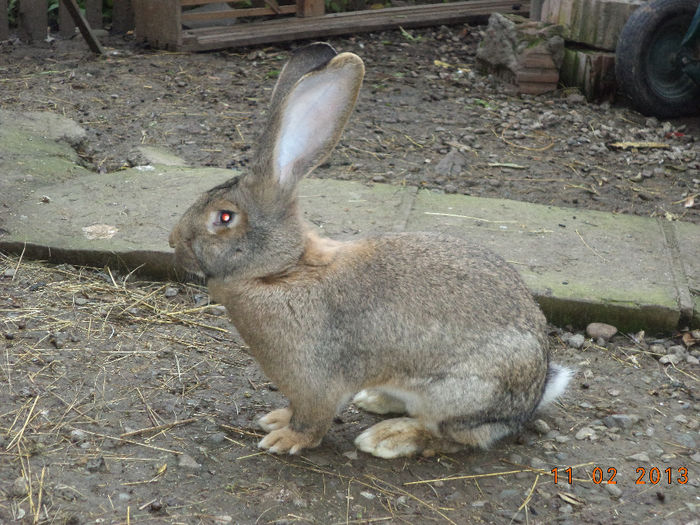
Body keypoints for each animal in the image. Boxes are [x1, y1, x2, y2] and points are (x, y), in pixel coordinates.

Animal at [168, 42, 568, 458]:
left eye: (224, 217)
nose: (173, 241)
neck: (283, 269)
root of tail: (534, 393)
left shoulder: (316, 382)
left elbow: (313, 418)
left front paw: (285, 439)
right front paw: (276, 419)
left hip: (462, 392)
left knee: (455, 435)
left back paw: (389, 437)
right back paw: (374, 400)